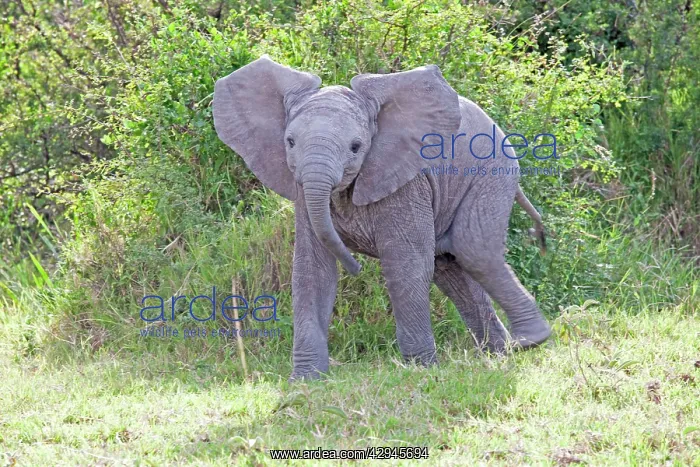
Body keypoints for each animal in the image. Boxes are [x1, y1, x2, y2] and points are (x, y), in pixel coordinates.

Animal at [213, 55, 552, 380]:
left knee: (474, 250)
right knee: (451, 268)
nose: (356, 266)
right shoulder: (302, 191)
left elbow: (405, 264)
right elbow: (312, 270)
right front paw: (305, 380)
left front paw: (420, 370)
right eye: (290, 142)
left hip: (492, 171)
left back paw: (530, 341)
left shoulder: (406, 180)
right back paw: (500, 353)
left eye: (356, 147)